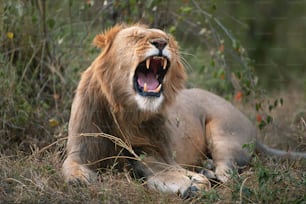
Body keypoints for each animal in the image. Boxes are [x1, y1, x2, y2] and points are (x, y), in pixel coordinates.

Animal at [62, 23, 306, 198]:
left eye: (167, 38)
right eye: (136, 37)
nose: (161, 42)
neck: (126, 111)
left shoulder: (156, 157)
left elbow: (168, 173)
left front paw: (194, 184)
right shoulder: (80, 149)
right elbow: (69, 166)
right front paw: (79, 178)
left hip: (224, 133)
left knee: (228, 173)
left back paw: (209, 174)